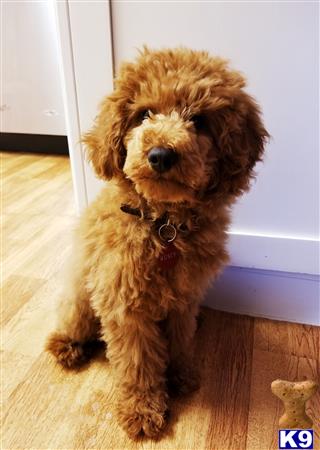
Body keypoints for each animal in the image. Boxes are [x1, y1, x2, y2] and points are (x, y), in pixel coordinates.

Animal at [46, 47, 268, 438]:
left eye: (199, 120)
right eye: (144, 114)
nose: (161, 154)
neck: (164, 226)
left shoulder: (184, 296)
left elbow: (179, 339)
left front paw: (181, 375)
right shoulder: (124, 305)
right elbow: (138, 363)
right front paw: (143, 410)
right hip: (80, 300)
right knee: (73, 323)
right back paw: (66, 347)